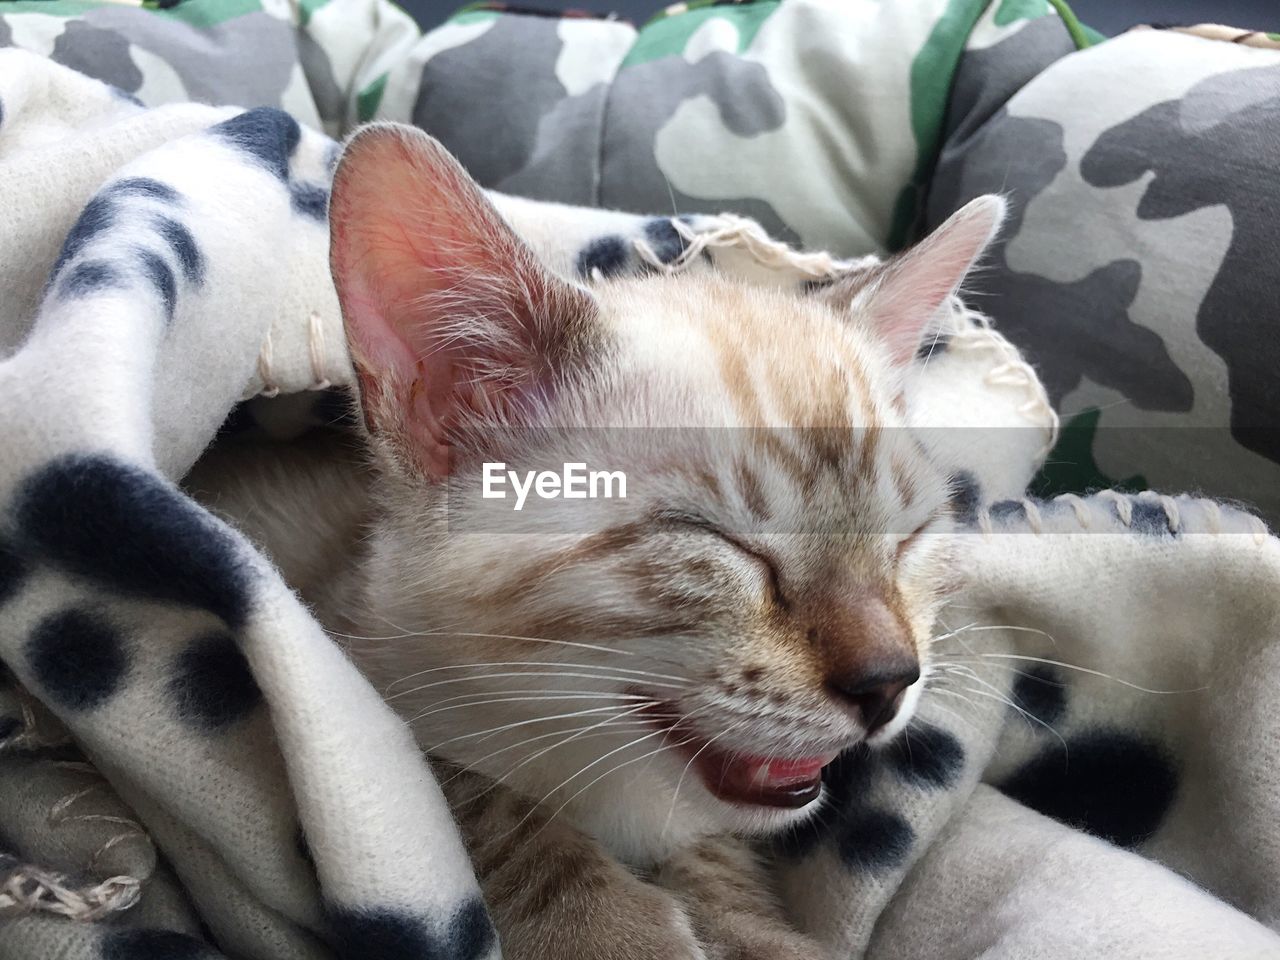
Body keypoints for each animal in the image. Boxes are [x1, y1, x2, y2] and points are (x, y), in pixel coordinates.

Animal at [209, 128, 1003, 960]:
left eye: (908, 538)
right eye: (726, 545)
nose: (890, 680)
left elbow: (715, 857)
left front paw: (754, 933)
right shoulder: (343, 695)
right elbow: (480, 801)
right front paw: (612, 932)